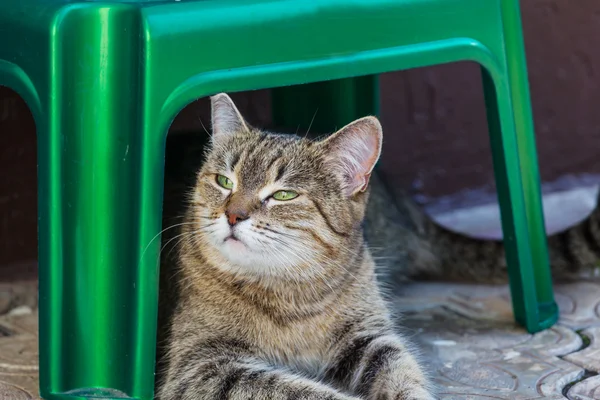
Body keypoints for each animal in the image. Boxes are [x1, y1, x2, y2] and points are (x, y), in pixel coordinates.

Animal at [157, 94, 434, 400]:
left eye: (284, 195)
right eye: (224, 181)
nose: (233, 215)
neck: (293, 294)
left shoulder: (368, 336)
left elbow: (402, 368)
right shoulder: (200, 366)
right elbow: (298, 391)